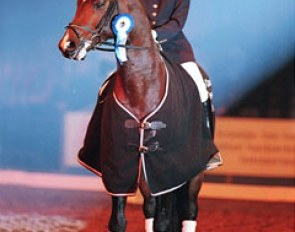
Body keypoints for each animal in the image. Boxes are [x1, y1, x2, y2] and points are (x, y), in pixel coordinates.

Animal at [58, 0, 220, 231]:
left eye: (99, 4)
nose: (67, 45)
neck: (142, 85)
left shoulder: (169, 168)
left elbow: (163, 222)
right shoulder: (118, 165)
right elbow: (118, 222)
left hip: (194, 170)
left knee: (189, 209)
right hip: (144, 172)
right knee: (150, 206)